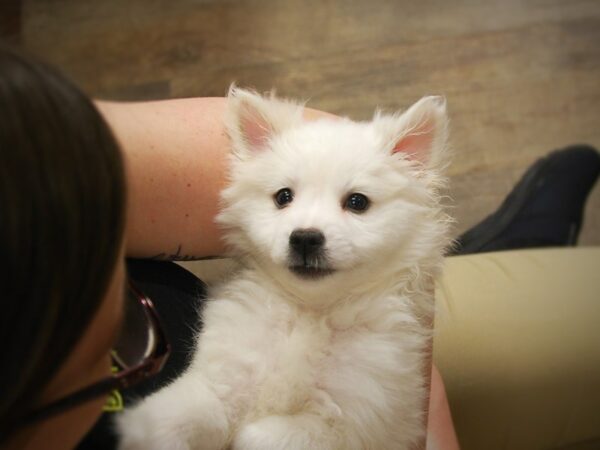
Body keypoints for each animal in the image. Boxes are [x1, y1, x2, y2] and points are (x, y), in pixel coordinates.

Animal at [117, 88, 450, 450]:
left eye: (357, 202)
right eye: (283, 197)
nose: (305, 238)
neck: (310, 311)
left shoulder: (352, 423)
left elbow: (258, 435)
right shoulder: (223, 381)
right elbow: (171, 416)